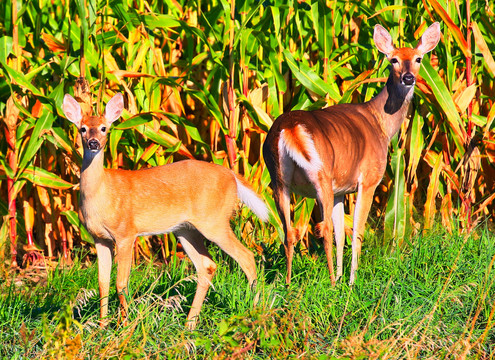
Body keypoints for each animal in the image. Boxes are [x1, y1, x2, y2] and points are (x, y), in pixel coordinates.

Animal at [63, 93, 272, 330]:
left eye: (104, 128)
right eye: (82, 128)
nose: (93, 143)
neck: (101, 194)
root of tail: (232, 175)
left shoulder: (126, 233)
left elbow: (121, 283)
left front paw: (124, 326)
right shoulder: (99, 238)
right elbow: (102, 283)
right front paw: (101, 326)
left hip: (214, 221)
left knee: (247, 256)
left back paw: (255, 310)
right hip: (185, 230)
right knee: (207, 266)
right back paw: (190, 324)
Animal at [264, 23, 442, 286]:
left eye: (418, 58)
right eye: (393, 60)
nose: (408, 78)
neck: (381, 124)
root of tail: (291, 128)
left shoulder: (341, 189)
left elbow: (341, 234)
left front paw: (341, 277)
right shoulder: (368, 179)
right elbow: (356, 231)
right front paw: (349, 281)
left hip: (278, 179)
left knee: (288, 232)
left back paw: (287, 284)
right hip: (321, 174)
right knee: (323, 229)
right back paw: (328, 282)